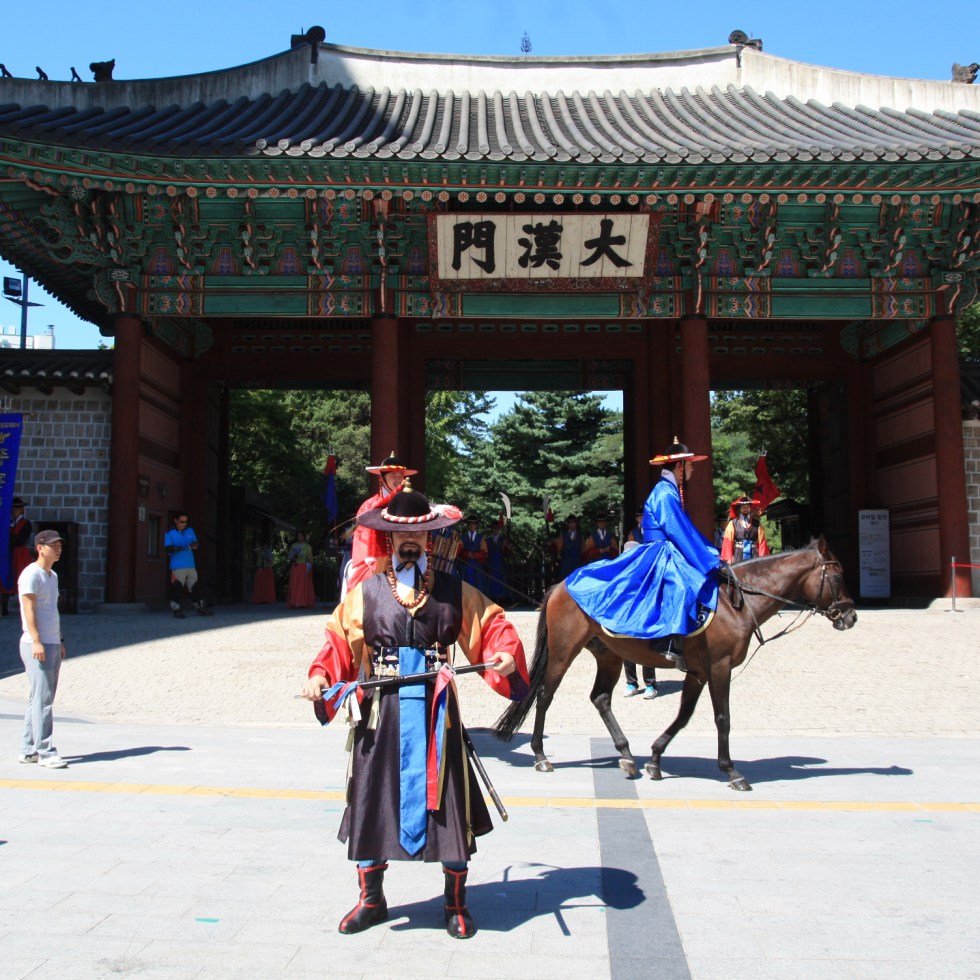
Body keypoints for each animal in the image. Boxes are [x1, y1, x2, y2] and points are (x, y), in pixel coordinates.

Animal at [493, 537, 857, 791]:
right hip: (563, 650)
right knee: (544, 695)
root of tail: (560, 585)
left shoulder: (698, 672)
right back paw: (540, 755)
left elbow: (683, 716)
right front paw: (731, 770)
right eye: (838, 574)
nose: (851, 616)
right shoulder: (720, 668)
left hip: (608, 655)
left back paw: (627, 755)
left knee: (600, 698)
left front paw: (655, 758)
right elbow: (722, 719)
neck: (735, 603)